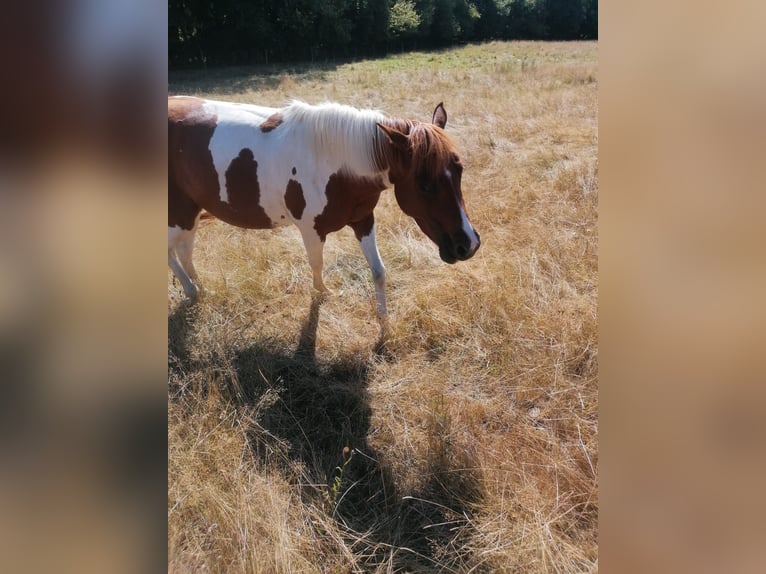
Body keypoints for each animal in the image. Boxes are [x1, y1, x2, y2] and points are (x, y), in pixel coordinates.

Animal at [168, 95, 480, 320]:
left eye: (460, 170)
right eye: (424, 185)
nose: (469, 244)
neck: (335, 161)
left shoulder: (364, 220)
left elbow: (379, 271)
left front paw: (383, 320)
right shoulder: (311, 229)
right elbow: (317, 266)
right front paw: (325, 294)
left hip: (189, 214)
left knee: (183, 252)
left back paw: (199, 287)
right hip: (178, 217)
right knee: (171, 253)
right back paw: (192, 290)